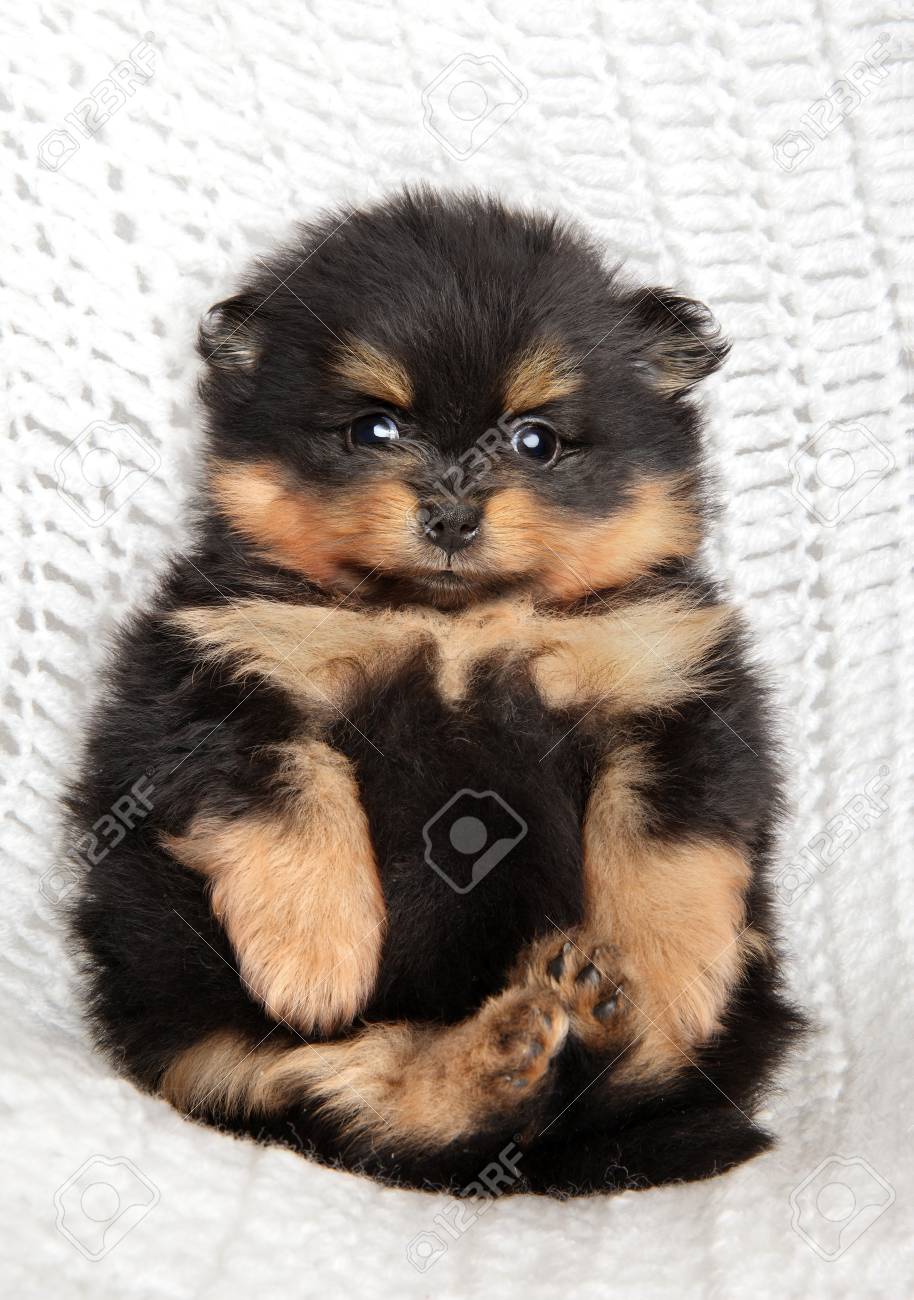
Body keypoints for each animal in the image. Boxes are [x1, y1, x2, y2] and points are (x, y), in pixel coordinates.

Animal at [67, 187, 803, 1196]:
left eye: (536, 440)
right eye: (374, 428)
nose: (451, 513)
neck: (456, 624)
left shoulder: (672, 681)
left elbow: (667, 850)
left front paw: (662, 980)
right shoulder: (213, 672)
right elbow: (284, 798)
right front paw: (314, 952)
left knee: (626, 1079)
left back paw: (594, 1009)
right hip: (203, 1028)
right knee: (369, 1096)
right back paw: (504, 1045)